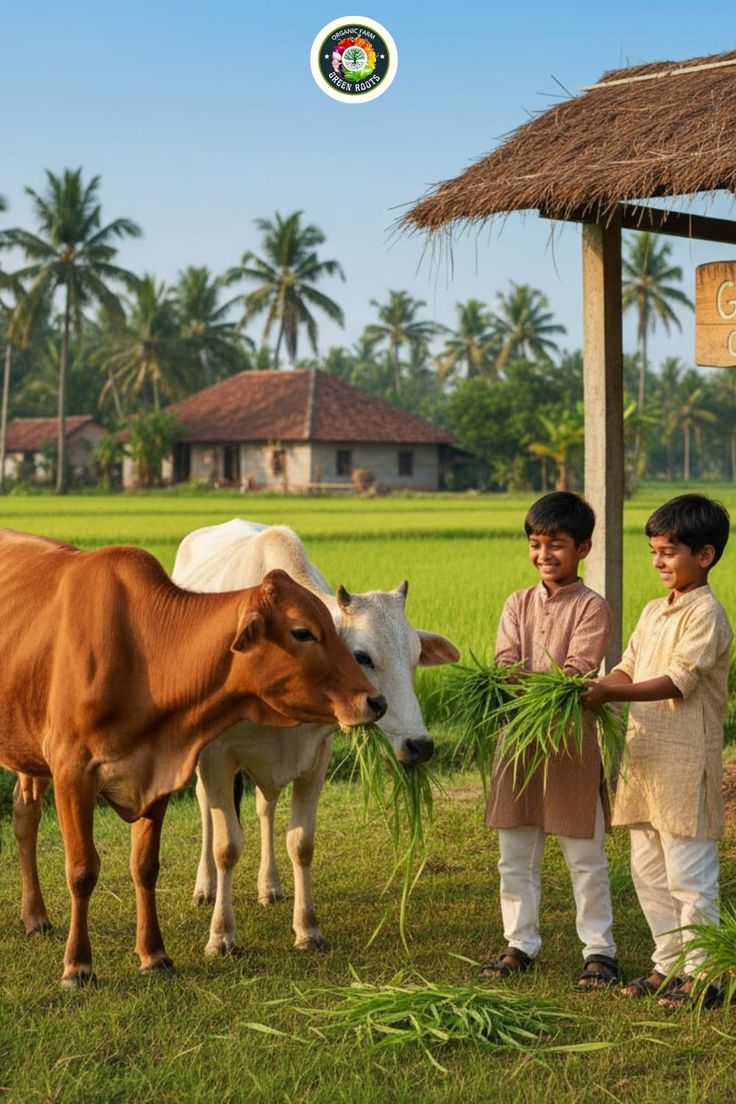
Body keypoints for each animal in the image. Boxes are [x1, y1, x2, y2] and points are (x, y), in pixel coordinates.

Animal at [0, 528, 384, 986]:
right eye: (302, 632)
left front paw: (154, 954)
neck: (144, 654)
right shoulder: (72, 772)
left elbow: (145, 866)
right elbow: (82, 870)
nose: (375, 701)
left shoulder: (156, 774)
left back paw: (35, 916)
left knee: (25, 818)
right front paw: (77, 965)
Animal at [171, 519, 460, 956]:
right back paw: (205, 888)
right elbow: (227, 847)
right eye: (361, 656)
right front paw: (221, 935)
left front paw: (307, 929)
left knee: (265, 807)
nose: (420, 745)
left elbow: (301, 843)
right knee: (207, 808)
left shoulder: (315, 757)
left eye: (413, 659)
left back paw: (269, 886)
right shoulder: (217, 756)